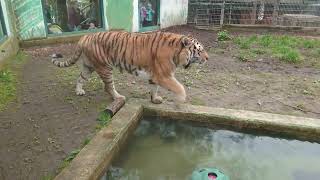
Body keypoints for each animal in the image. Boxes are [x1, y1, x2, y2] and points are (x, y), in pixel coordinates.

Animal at [51, 30, 209, 105]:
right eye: (200, 50)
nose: (208, 58)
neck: (176, 52)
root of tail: (85, 37)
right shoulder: (164, 75)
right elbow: (180, 87)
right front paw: (181, 100)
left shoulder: (155, 76)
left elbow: (154, 89)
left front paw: (155, 100)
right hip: (104, 67)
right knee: (108, 86)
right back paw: (118, 97)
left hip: (88, 66)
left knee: (80, 78)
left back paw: (79, 91)